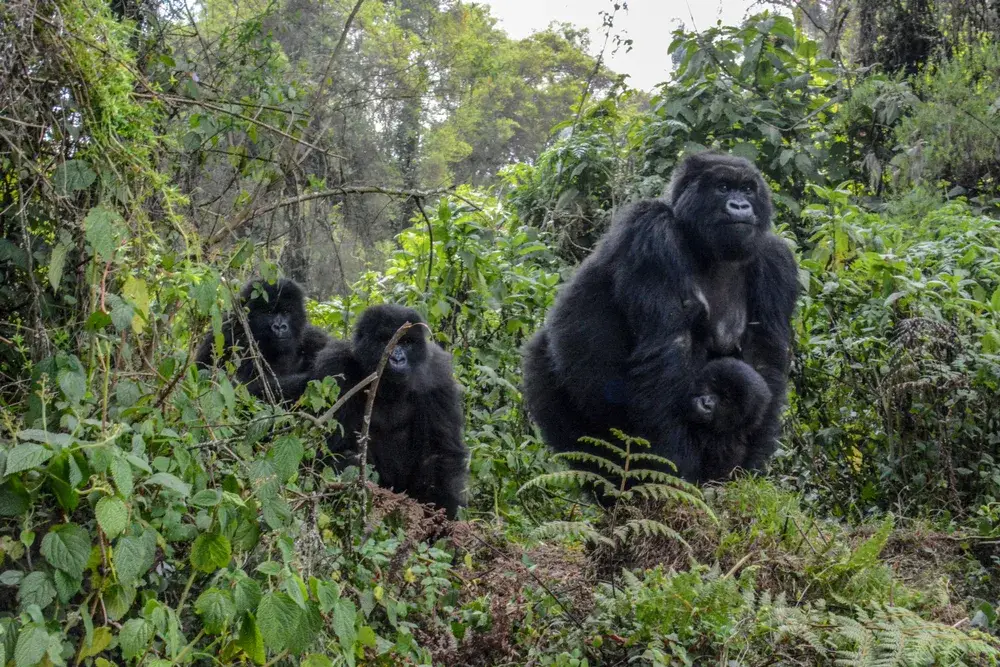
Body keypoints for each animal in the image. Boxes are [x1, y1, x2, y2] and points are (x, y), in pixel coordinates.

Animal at [286, 306, 468, 520]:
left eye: (406, 343)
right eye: (385, 340)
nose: (397, 359)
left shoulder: (438, 375)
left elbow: (440, 454)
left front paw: (442, 513)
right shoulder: (334, 366)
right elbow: (326, 450)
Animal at [524, 151, 796, 486]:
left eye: (747, 189)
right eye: (722, 187)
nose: (740, 206)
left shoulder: (775, 259)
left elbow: (764, 361)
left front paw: (745, 465)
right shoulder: (652, 230)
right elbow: (668, 345)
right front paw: (673, 469)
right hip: (545, 370)